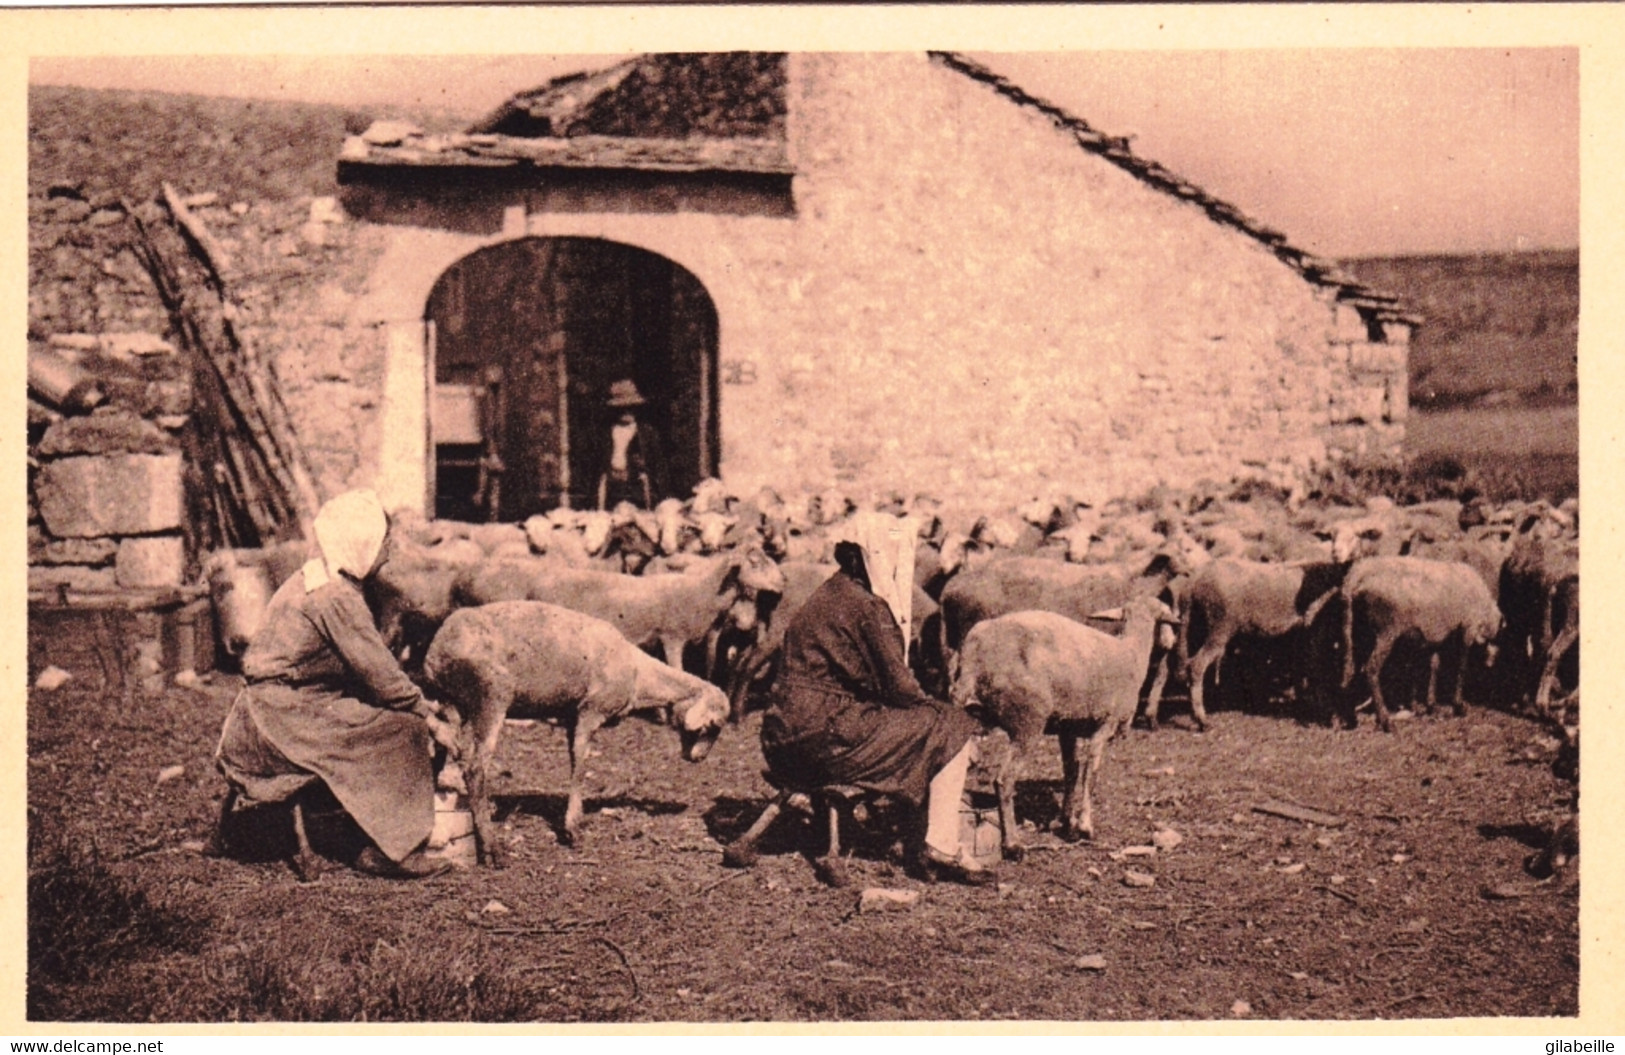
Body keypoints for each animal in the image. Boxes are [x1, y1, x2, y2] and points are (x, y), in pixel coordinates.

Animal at [422, 598, 728, 858]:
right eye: (712, 726)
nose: (698, 758)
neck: (640, 677)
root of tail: (436, 653)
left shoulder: (571, 716)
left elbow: (573, 761)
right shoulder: (590, 711)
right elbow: (581, 766)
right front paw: (572, 829)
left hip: (449, 703)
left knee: (438, 747)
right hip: (491, 694)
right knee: (475, 768)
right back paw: (491, 847)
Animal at [1339, 552, 1501, 731]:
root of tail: (1355, 576)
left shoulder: (1436, 637)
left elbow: (1434, 666)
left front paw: (1431, 705)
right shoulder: (1467, 629)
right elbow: (1461, 666)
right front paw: (1458, 705)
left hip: (1354, 630)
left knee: (1348, 671)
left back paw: (1350, 718)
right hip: (1386, 632)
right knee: (1371, 669)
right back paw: (1385, 720)